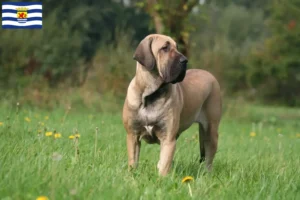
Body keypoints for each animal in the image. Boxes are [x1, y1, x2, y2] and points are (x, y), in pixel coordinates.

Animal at [122, 33, 223, 176]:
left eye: (177, 47)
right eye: (164, 48)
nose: (185, 60)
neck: (150, 95)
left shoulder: (168, 138)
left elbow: (164, 165)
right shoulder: (133, 135)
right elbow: (133, 162)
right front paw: (132, 176)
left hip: (211, 130)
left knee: (209, 158)